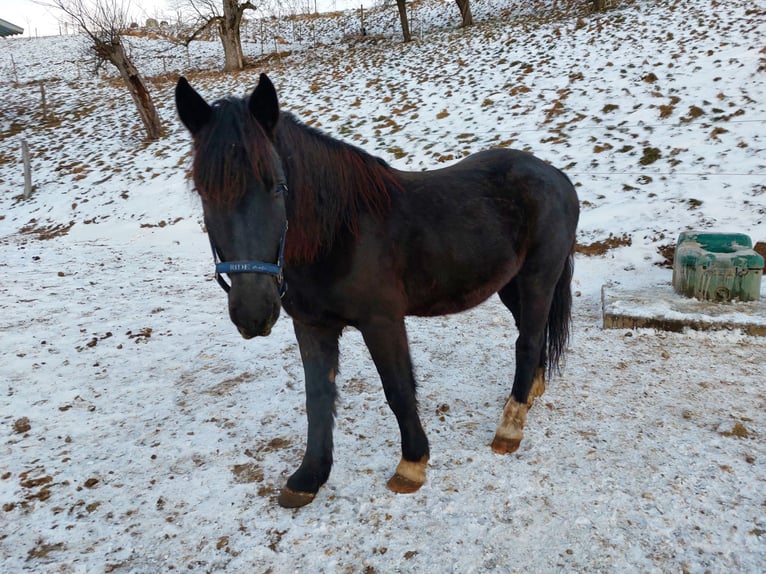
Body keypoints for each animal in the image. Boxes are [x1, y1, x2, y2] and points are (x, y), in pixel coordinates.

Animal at [175, 73, 579, 508]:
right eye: (204, 192)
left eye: (278, 186)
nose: (253, 310)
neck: (339, 233)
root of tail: (556, 175)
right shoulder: (311, 325)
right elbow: (317, 397)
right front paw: (308, 477)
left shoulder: (382, 322)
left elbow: (398, 388)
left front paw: (412, 464)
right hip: (510, 285)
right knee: (532, 333)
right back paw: (529, 395)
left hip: (539, 277)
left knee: (528, 339)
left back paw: (510, 427)